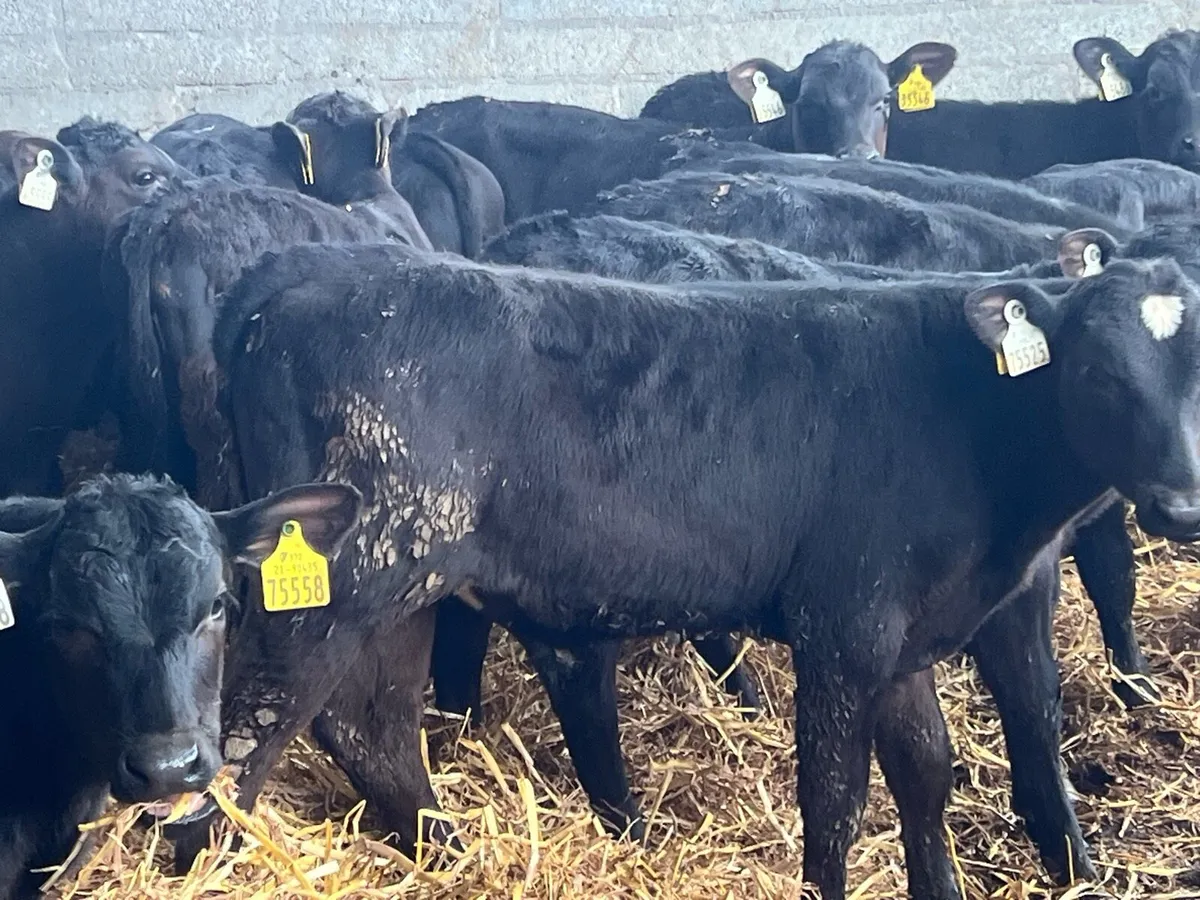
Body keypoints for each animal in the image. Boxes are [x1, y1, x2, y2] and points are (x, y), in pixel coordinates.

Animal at [165, 241, 1200, 899]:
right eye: (1100, 373)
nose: (1183, 505)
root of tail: (312, 269)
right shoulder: (844, 624)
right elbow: (836, 799)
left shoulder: (911, 631)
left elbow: (927, 774)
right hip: (343, 578)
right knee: (248, 731)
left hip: (403, 583)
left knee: (369, 727)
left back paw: (452, 853)